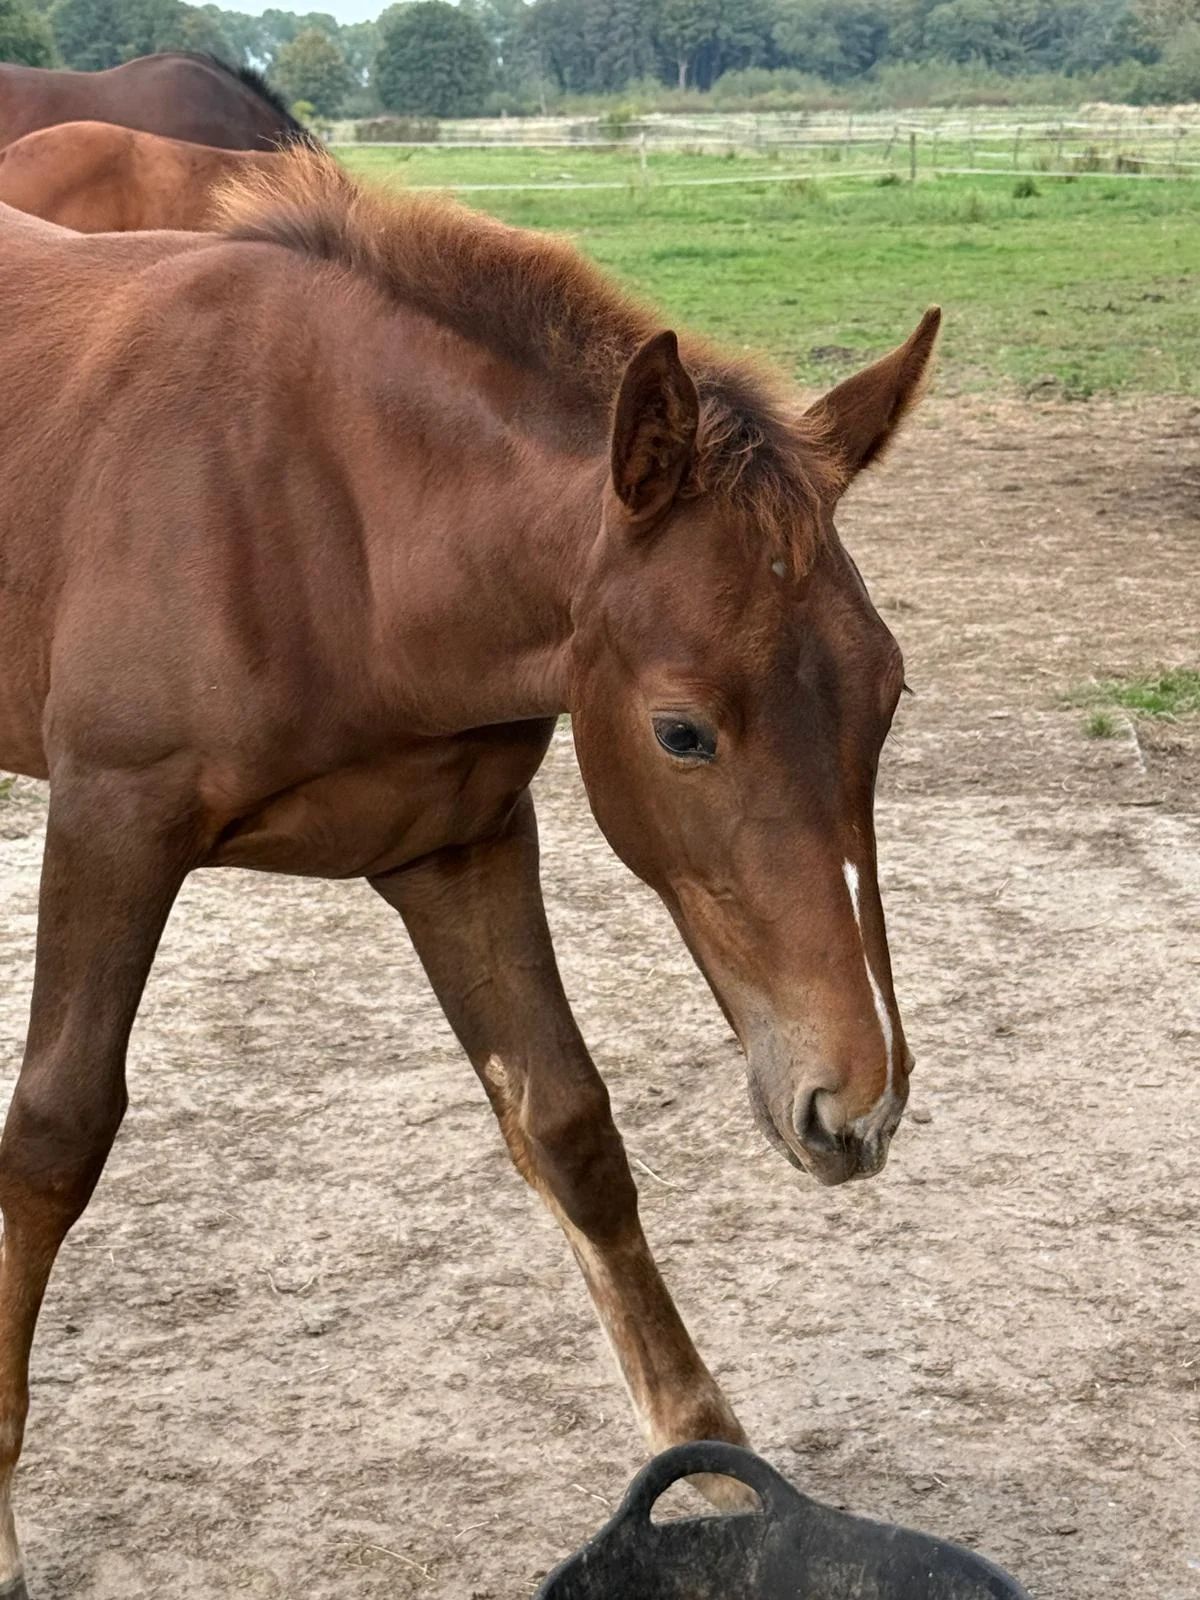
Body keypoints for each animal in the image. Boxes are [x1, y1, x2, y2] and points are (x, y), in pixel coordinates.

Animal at [0, 153, 938, 1595]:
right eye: (682, 732)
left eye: (889, 697)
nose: (858, 1102)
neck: (331, 516)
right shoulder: (112, 820)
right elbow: (52, 1141)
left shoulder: (461, 843)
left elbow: (567, 1124)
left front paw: (712, 1462)